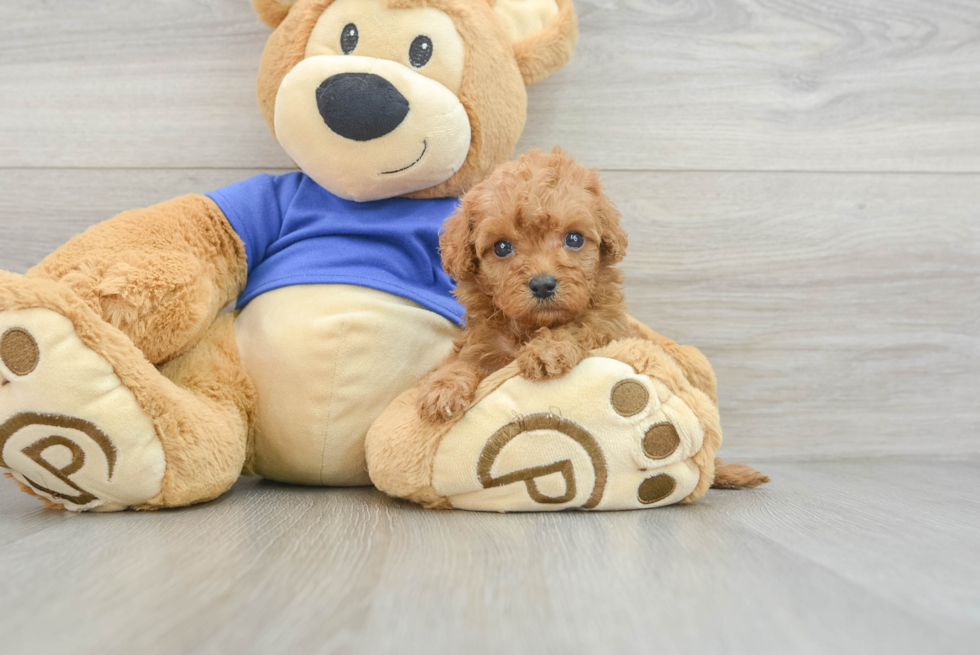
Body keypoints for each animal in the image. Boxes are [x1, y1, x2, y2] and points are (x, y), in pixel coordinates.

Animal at [416, 147, 640, 426]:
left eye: (574, 238)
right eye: (502, 247)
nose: (543, 285)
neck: (528, 328)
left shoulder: (610, 326)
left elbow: (580, 325)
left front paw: (548, 349)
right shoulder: (483, 342)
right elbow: (462, 358)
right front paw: (443, 386)